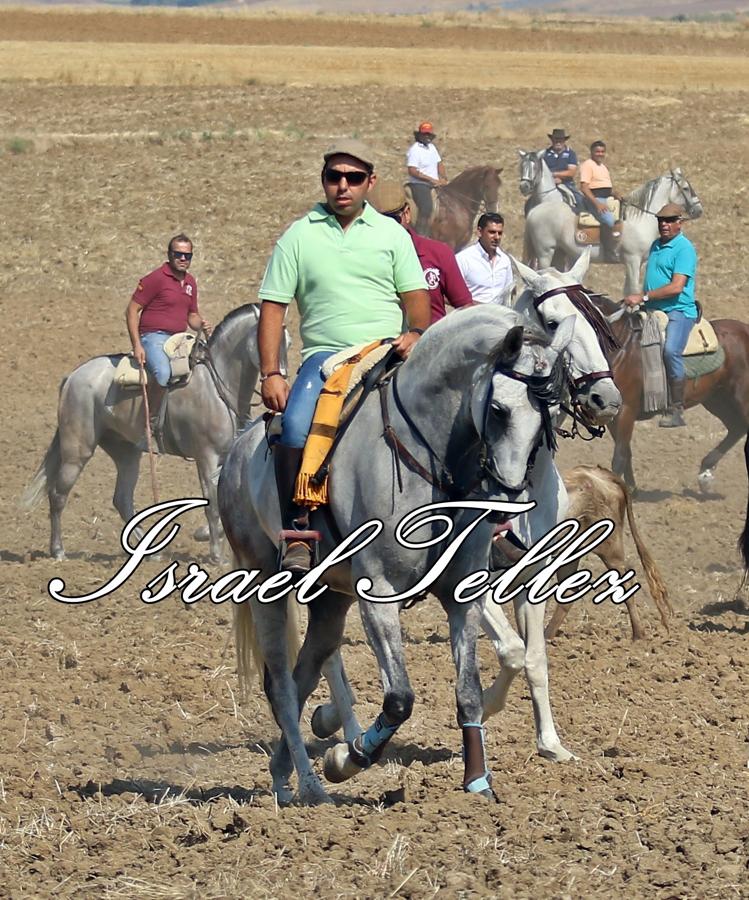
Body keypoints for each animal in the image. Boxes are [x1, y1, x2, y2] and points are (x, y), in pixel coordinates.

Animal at [218, 306, 572, 804]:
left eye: (549, 416)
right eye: (499, 411)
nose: (508, 498)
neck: (432, 458)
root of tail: (236, 450)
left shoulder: (463, 595)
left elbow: (468, 691)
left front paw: (478, 783)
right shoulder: (378, 595)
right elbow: (400, 698)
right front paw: (347, 759)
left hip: (331, 598)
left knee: (306, 672)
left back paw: (283, 772)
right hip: (264, 583)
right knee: (282, 687)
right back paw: (309, 786)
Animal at [516, 149, 704, 294]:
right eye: (685, 188)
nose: (699, 210)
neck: (640, 219)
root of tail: (535, 211)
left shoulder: (637, 263)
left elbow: (628, 291)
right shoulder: (632, 260)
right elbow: (634, 290)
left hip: (559, 253)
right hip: (545, 252)